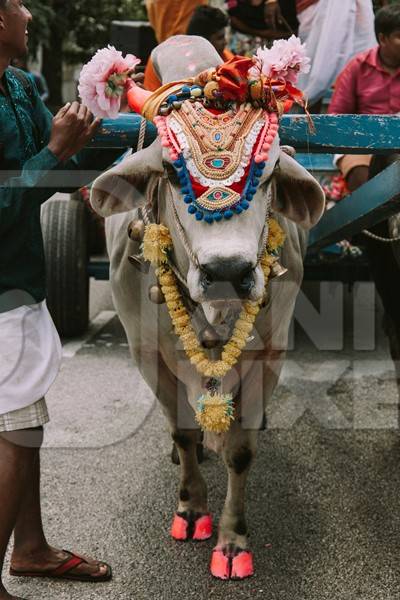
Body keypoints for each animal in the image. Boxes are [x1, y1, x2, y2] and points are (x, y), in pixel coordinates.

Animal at [88, 36, 324, 576]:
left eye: (267, 174)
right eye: (172, 175)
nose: (227, 272)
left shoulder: (270, 353)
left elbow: (240, 450)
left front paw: (232, 541)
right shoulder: (146, 352)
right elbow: (181, 429)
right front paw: (193, 509)